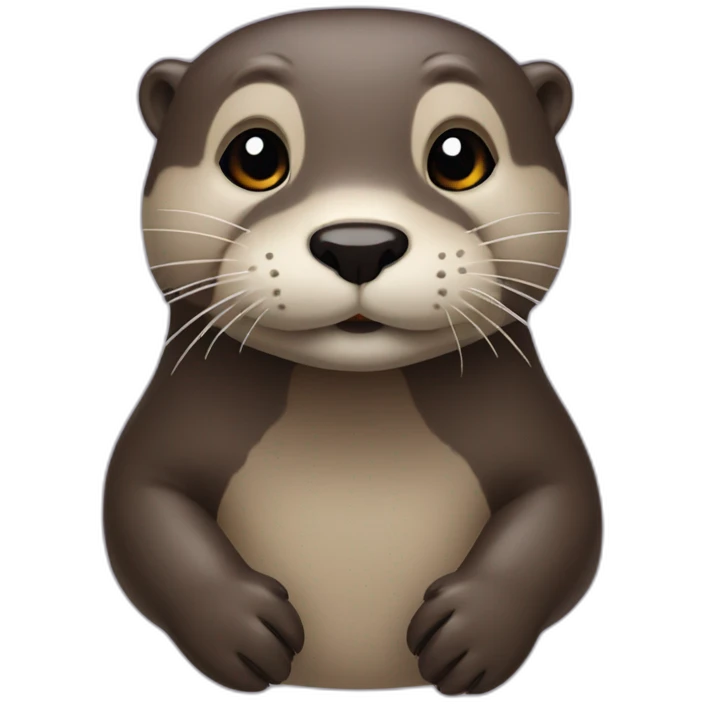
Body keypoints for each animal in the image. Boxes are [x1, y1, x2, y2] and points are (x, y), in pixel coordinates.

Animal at [105, 8, 602, 697]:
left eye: (459, 155)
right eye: (254, 154)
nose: (359, 244)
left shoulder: (527, 423)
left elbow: (564, 504)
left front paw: (476, 628)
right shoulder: (175, 422)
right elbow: (141, 499)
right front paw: (236, 624)